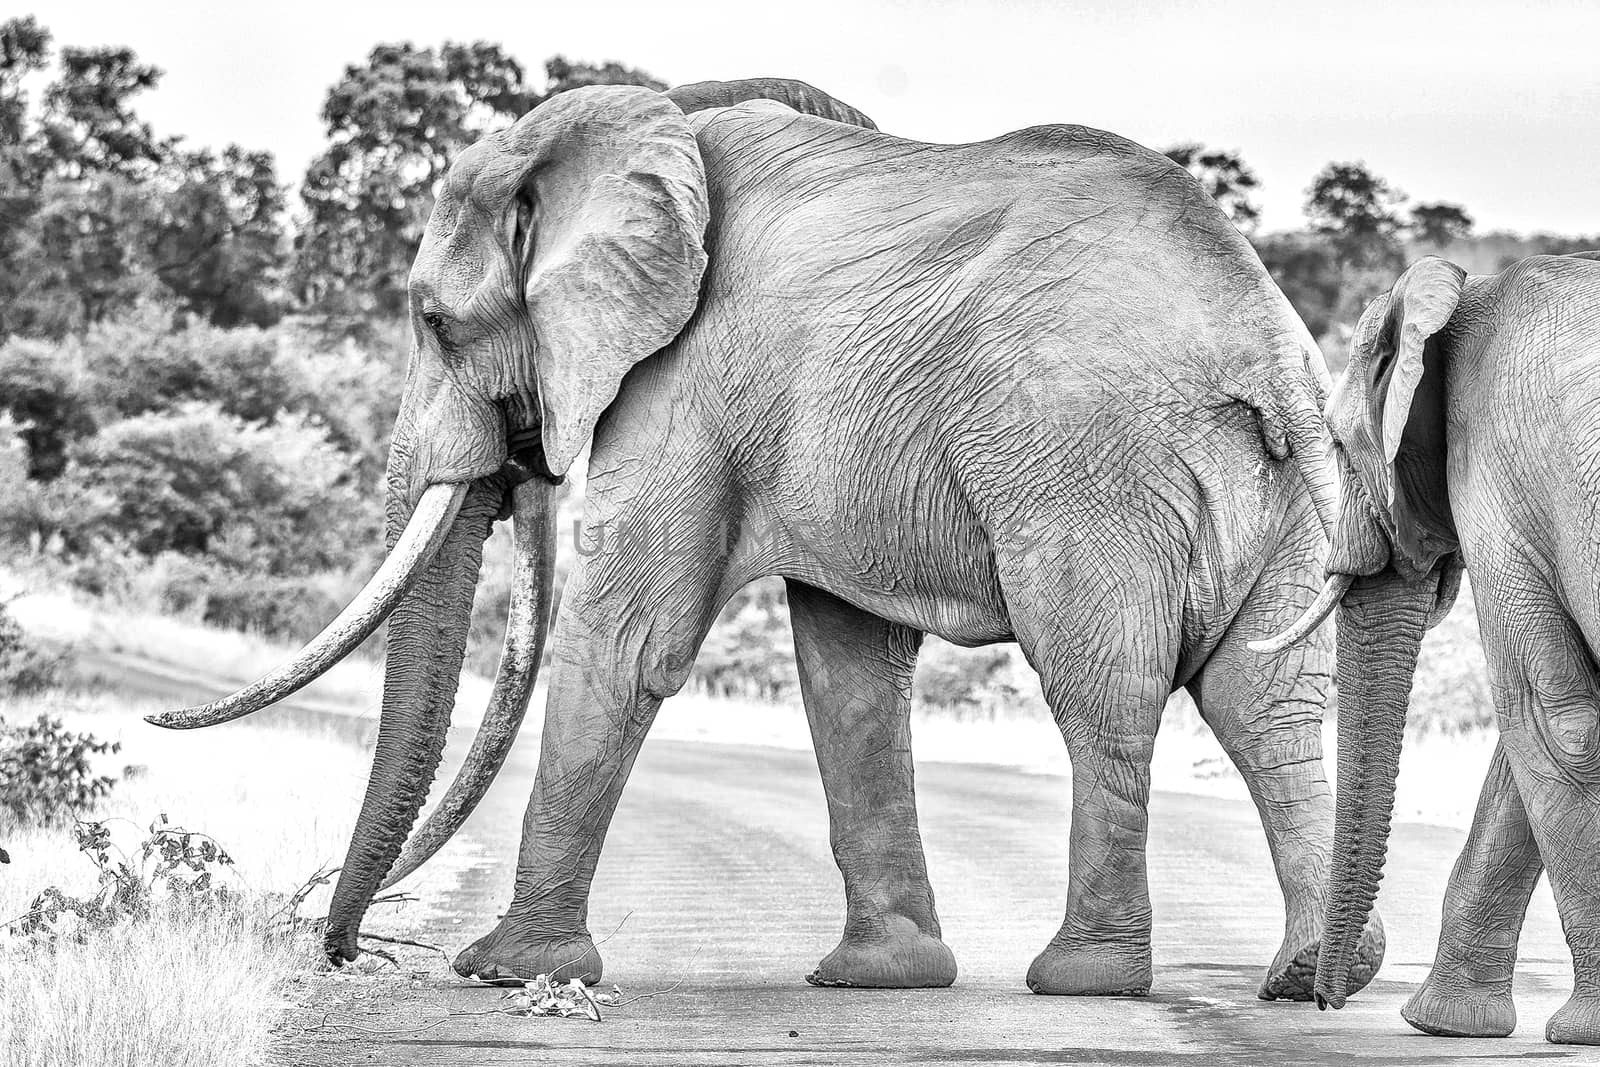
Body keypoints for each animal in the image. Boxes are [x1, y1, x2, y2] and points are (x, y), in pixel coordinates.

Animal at [165, 77, 1388, 1004]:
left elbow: (630, 635)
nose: (337, 946)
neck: (634, 129)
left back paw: (1083, 980)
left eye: (431, 321)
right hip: (1288, 491)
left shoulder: (686, 376)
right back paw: (1314, 975)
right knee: (1263, 704)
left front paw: (504, 970)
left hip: (1086, 463)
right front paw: (882, 979)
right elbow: (846, 669)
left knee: (1103, 687)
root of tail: (1267, 339)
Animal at [1248, 254, 1600, 1049]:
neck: (1461, 298)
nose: (1321, 1000)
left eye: (1338, 444)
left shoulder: (1500, 484)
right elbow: (1527, 744)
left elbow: (1557, 724)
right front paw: (1444, 1024)